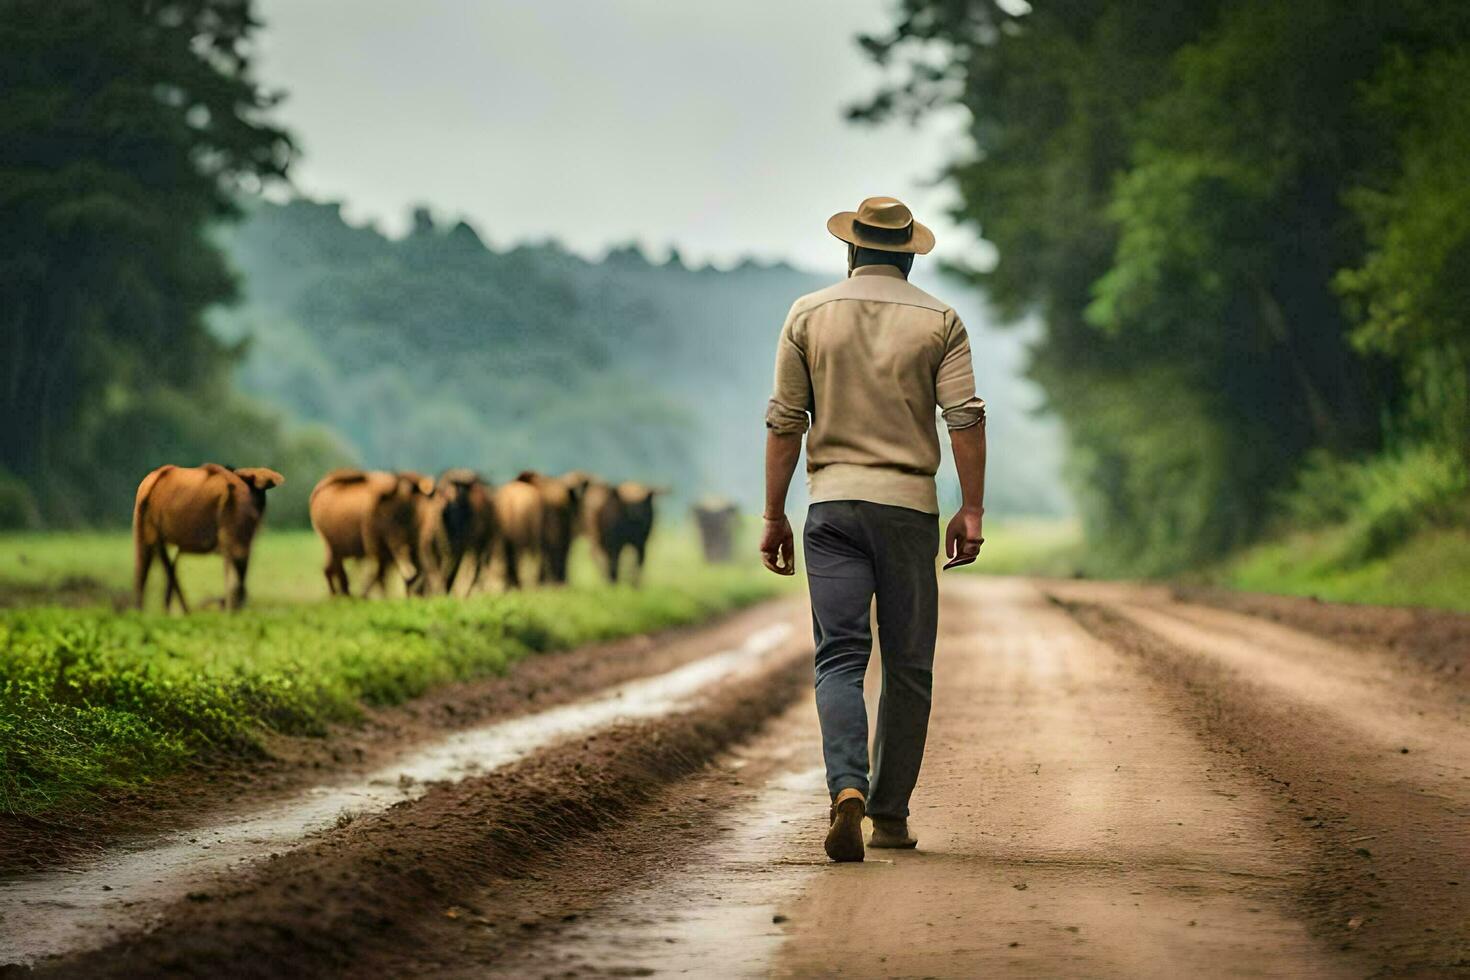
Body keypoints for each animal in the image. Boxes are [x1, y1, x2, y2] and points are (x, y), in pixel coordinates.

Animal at [305, 470, 429, 599]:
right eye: (390, 516)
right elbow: (380, 572)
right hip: (332, 542)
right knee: (336, 569)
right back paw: (344, 596)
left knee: (332, 569)